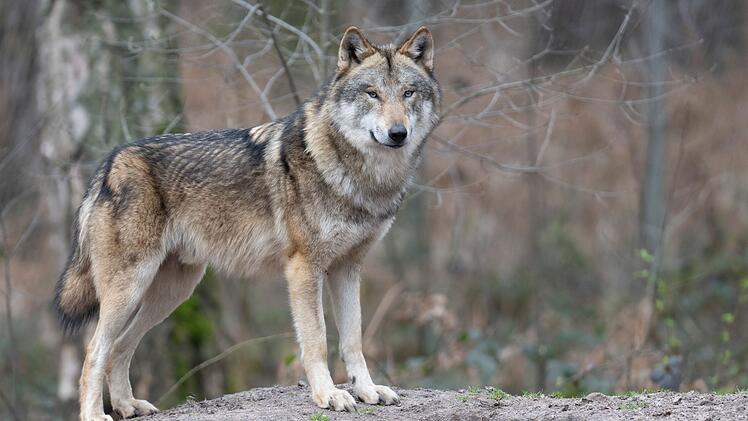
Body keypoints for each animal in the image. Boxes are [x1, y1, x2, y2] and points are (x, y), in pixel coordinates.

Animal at [54, 26, 440, 420]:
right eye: (372, 93)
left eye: (407, 93)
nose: (398, 133)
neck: (361, 177)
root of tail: (110, 162)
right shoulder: (304, 268)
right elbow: (317, 340)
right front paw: (328, 395)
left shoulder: (348, 268)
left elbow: (353, 339)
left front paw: (367, 390)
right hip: (131, 287)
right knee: (94, 351)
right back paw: (95, 413)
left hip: (172, 292)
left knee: (120, 347)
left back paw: (128, 405)